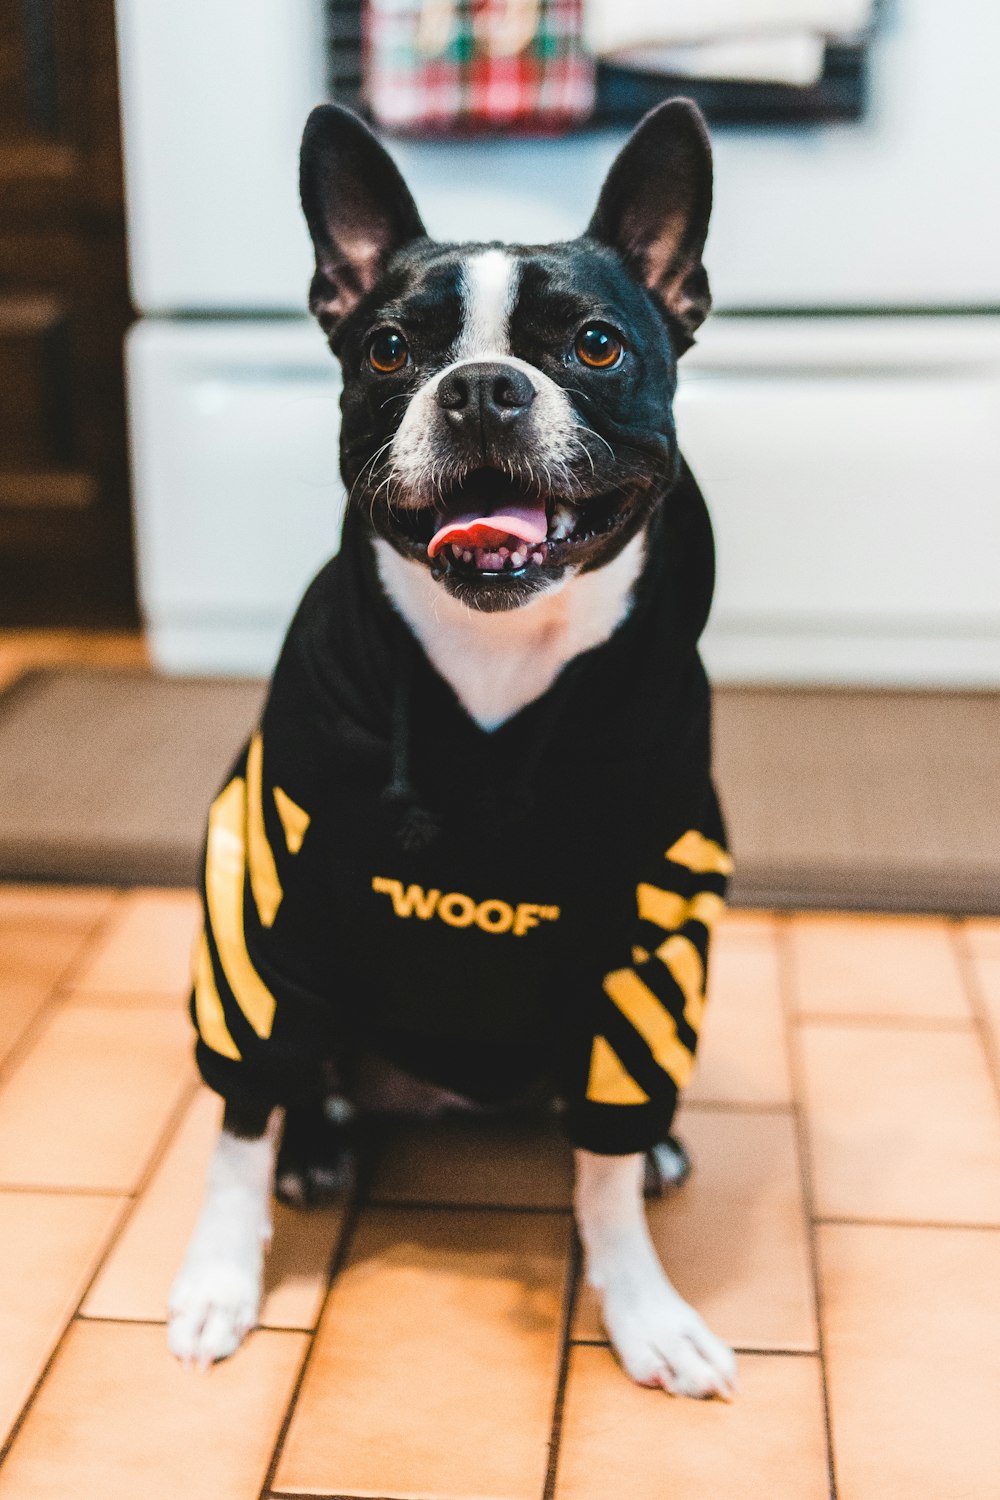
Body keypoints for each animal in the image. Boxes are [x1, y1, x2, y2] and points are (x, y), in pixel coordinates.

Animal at [167, 99, 740, 1398]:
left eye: (595, 345)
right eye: (387, 351)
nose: (480, 387)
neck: (495, 657)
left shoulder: (647, 939)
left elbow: (604, 1167)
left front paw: (643, 1306)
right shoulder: (269, 917)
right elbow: (239, 1117)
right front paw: (219, 1281)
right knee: (303, 1083)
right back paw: (316, 1150)